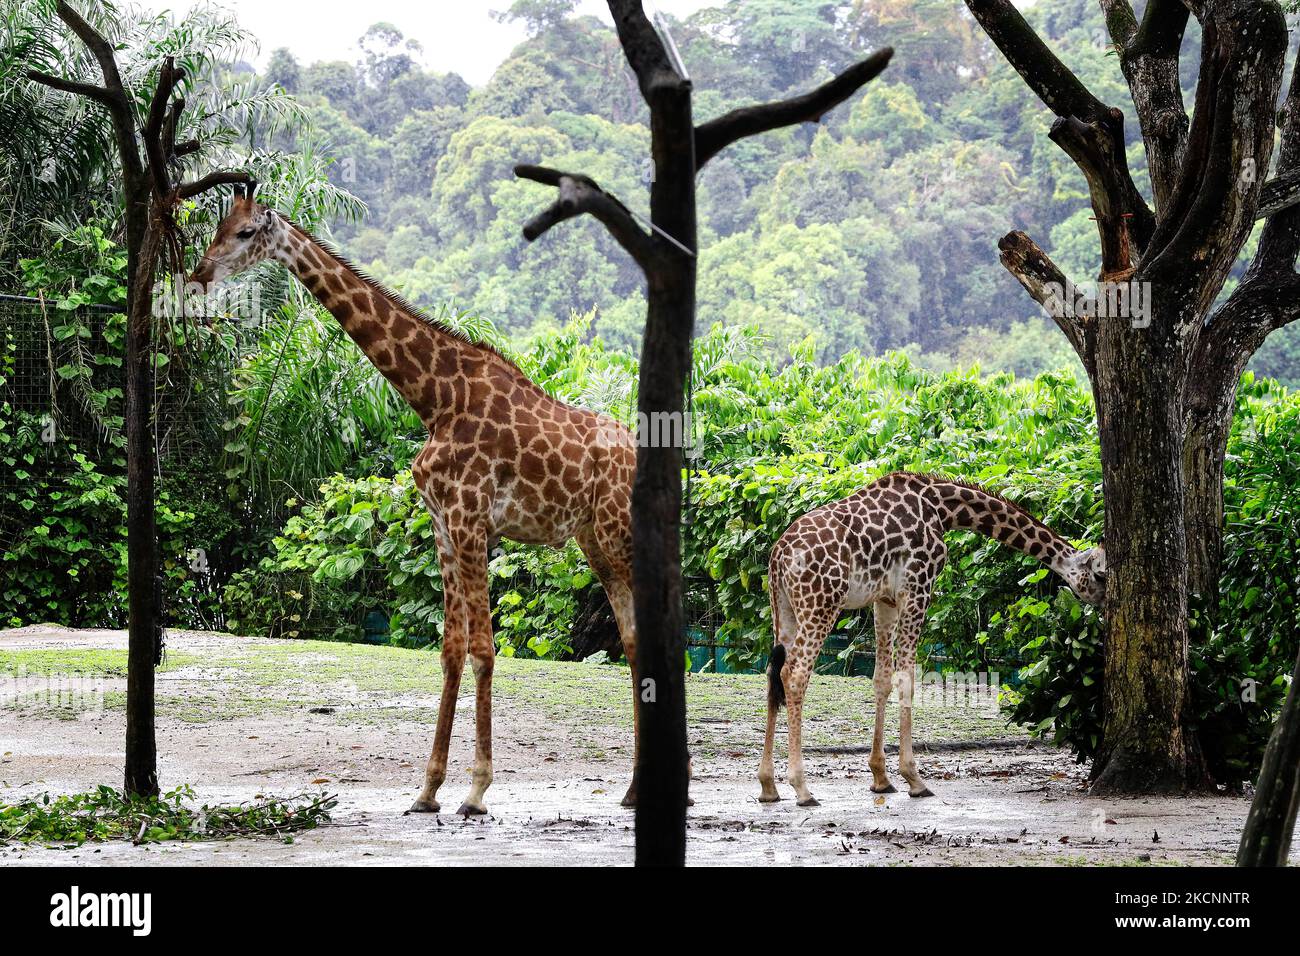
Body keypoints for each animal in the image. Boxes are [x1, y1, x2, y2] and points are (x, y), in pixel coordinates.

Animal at [188, 188, 644, 816]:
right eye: (218, 226)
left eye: (246, 231)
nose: (199, 273)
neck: (433, 398)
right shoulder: (444, 526)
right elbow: (451, 649)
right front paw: (427, 790)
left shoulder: (472, 519)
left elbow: (483, 648)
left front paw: (476, 790)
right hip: (594, 541)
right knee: (634, 639)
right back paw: (632, 788)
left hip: (617, 532)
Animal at [759, 470, 1107, 806]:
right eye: (1099, 574)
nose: (1104, 601)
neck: (942, 507)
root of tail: (779, 555)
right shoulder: (918, 587)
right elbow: (907, 679)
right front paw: (914, 779)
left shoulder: (884, 599)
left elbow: (882, 679)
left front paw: (880, 777)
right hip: (821, 604)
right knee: (796, 674)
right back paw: (802, 788)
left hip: (783, 607)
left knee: (773, 672)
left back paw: (768, 785)